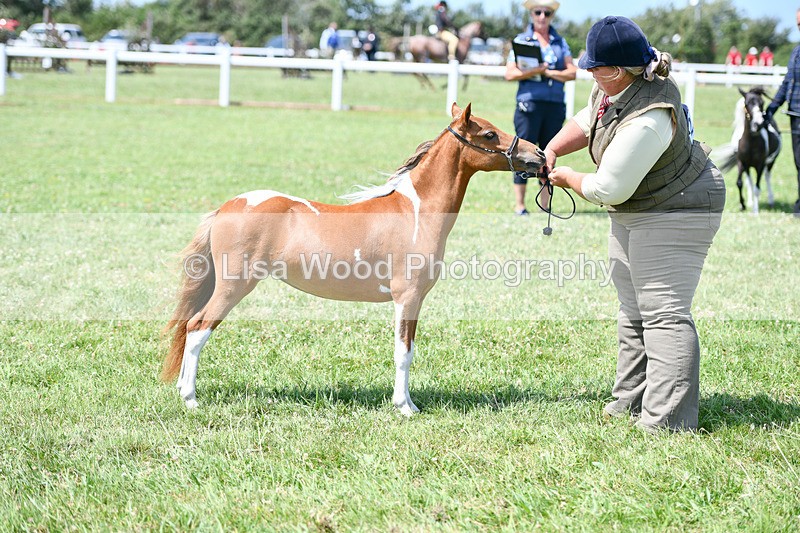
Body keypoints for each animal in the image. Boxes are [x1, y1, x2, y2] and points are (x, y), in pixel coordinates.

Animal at [162, 103, 545, 416]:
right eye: (489, 133)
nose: (539, 154)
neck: (415, 212)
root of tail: (228, 206)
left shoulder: (414, 301)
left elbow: (409, 349)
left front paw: (410, 404)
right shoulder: (407, 298)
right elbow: (403, 352)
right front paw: (404, 407)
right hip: (234, 286)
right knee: (197, 327)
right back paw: (191, 399)